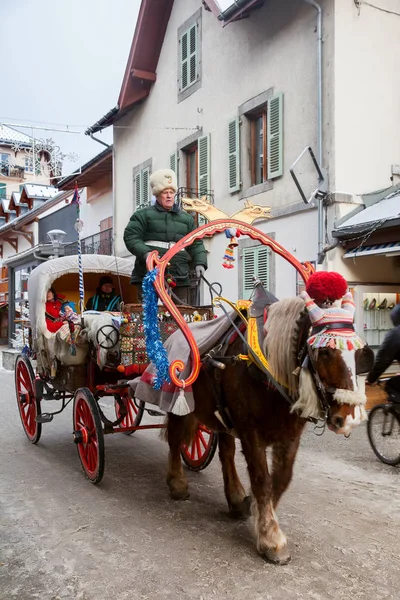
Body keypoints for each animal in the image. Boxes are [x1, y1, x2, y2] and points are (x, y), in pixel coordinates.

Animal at [165, 294, 372, 564]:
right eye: (325, 352)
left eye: (359, 354)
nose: (350, 418)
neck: (267, 370)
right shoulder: (251, 432)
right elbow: (262, 479)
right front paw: (270, 538)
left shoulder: (290, 434)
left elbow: (281, 479)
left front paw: (259, 516)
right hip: (179, 401)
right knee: (174, 439)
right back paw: (177, 483)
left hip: (221, 415)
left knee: (226, 453)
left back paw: (235, 498)